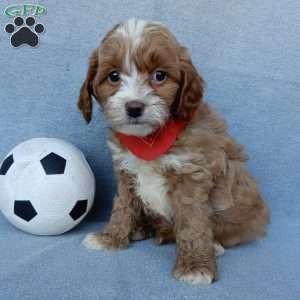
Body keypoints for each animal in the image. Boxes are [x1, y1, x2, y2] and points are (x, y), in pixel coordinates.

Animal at [77, 18, 270, 286]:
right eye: (113, 76)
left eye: (160, 75)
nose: (134, 107)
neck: (150, 138)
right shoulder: (126, 172)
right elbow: (123, 206)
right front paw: (111, 237)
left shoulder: (191, 174)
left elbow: (192, 223)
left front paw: (196, 266)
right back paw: (143, 228)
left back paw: (210, 244)